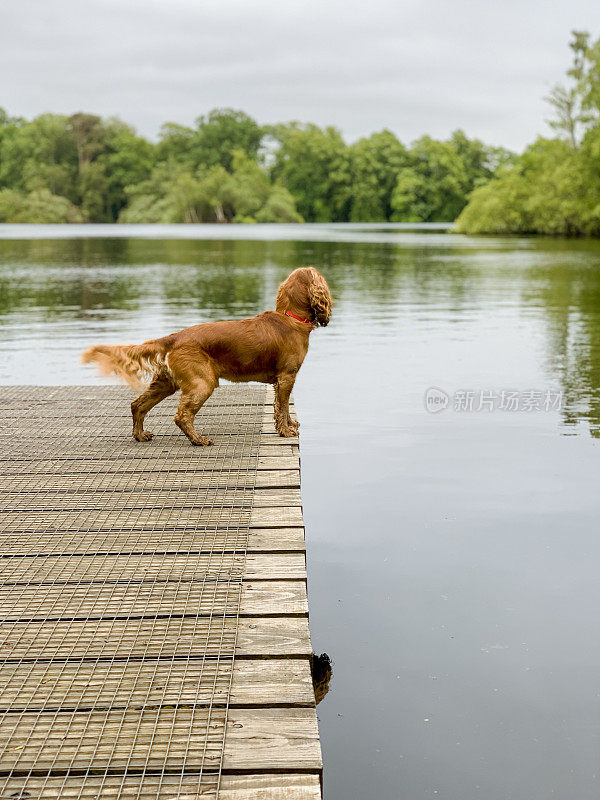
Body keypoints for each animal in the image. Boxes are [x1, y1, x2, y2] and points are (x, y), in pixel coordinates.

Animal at [79, 268, 330, 444]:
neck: (290, 318)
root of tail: (174, 337)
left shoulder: (281, 381)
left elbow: (281, 407)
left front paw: (289, 425)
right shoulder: (287, 376)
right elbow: (284, 407)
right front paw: (286, 430)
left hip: (166, 382)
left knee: (138, 404)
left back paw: (140, 435)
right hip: (202, 382)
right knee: (181, 416)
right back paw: (198, 440)